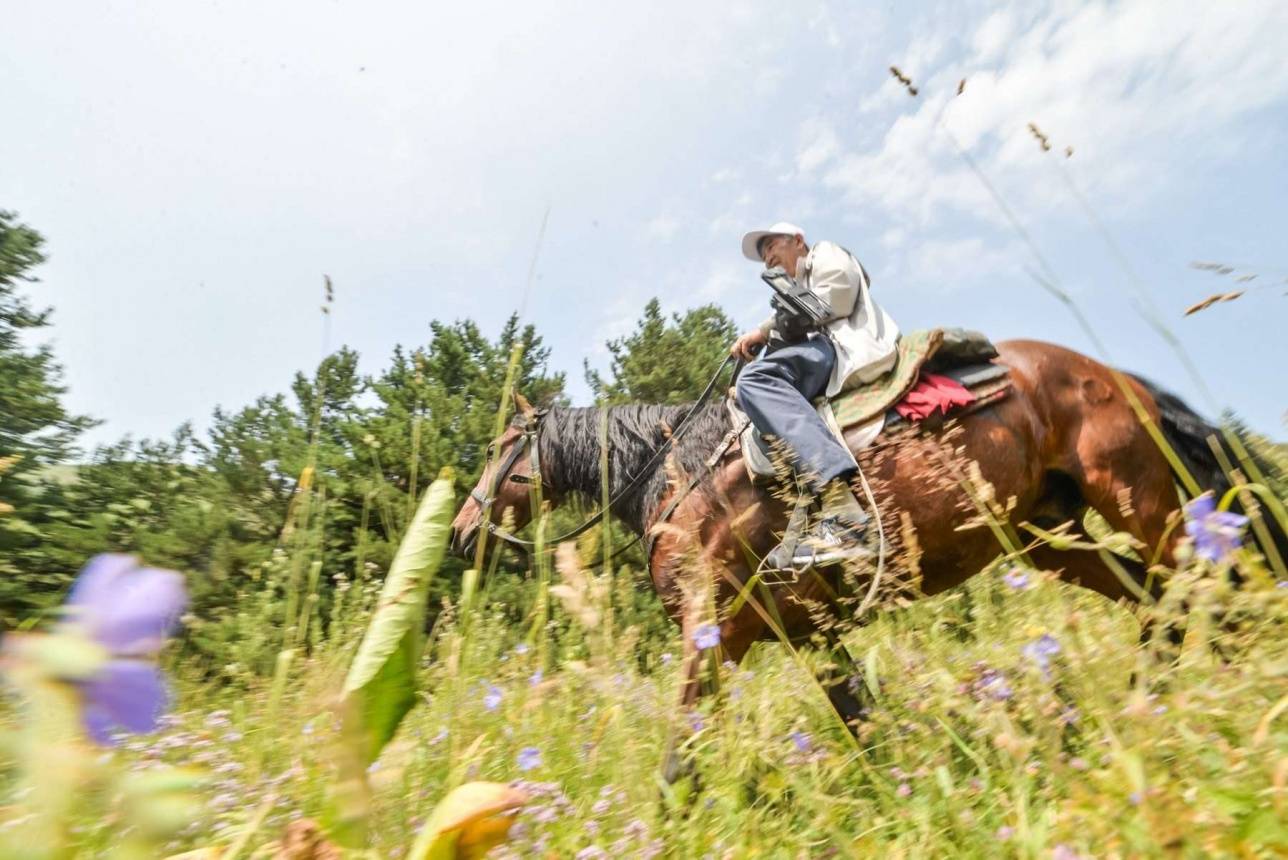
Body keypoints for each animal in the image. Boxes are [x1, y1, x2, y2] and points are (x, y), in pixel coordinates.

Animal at [448, 339, 1262, 777]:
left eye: (496, 448)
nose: (460, 531)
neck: (678, 477)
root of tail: (1113, 377)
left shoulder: (713, 633)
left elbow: (681, 758)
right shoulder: (808, 634)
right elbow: (863, 724)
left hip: (1141, 504)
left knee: (1198, 592)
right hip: (1051, 535)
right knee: (1160, 603)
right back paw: (1158, 707)